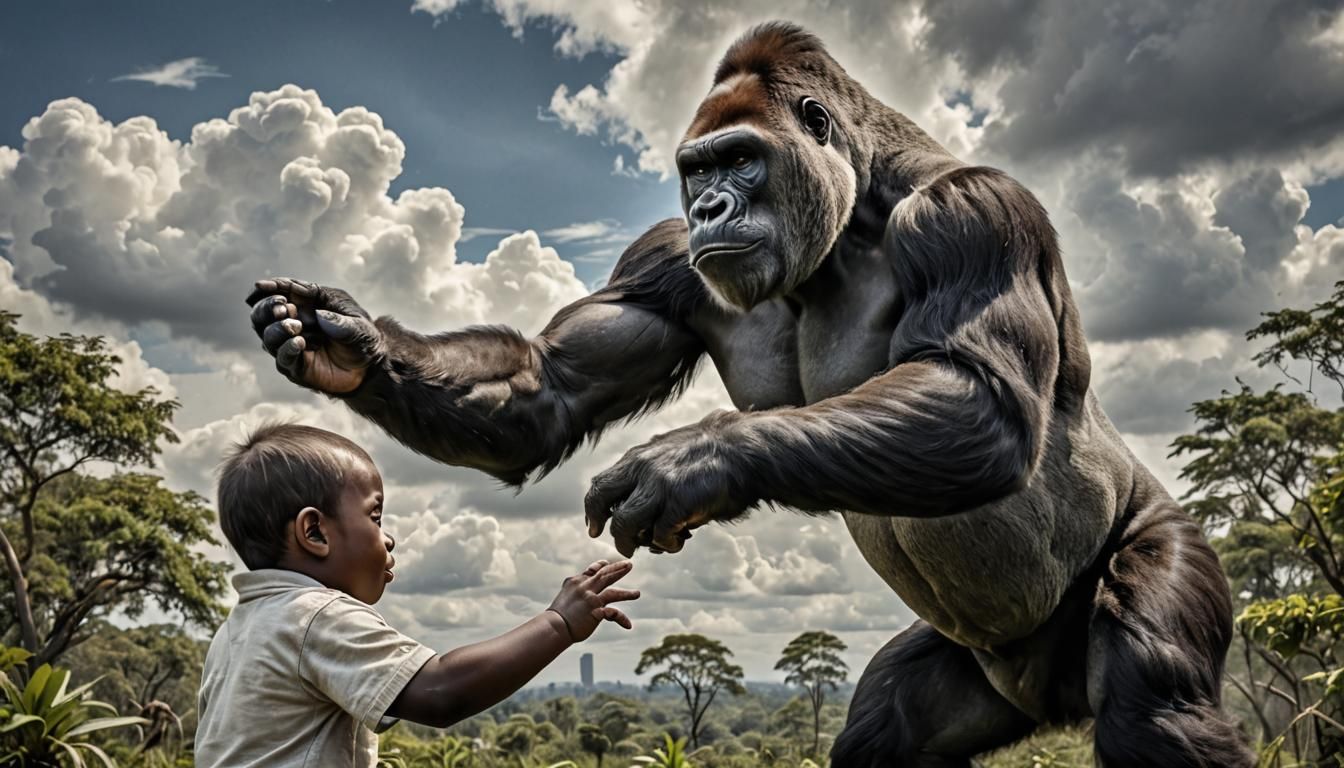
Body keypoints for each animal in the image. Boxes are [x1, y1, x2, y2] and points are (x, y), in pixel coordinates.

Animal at [247, 23, 1255, 767]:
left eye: (739, 160)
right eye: (696, 171)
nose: (709, 209)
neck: (853, 216)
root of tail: (1047, 696)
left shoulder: (975, 213)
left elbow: (984, 402)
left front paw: (694, 463)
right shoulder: (664, 261)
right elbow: (550, 390)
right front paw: (348, 343)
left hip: (1160, 551)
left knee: (1153, 704)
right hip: (980, 672)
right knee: (888, 727)